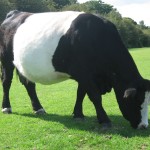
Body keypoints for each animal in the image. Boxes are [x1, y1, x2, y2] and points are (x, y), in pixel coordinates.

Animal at [0, 9, 150, 129]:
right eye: (137, 101)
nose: (143, 126)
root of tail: (16, 13)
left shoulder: (85, 74)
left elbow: (80, 94)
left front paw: (78, 114)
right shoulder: (85, 74)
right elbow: (95, 96)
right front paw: (104, 120)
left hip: (24, 67)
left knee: (29, 84)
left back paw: (39, 108)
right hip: (6, 60)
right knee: (6, 82)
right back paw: (6, 107)